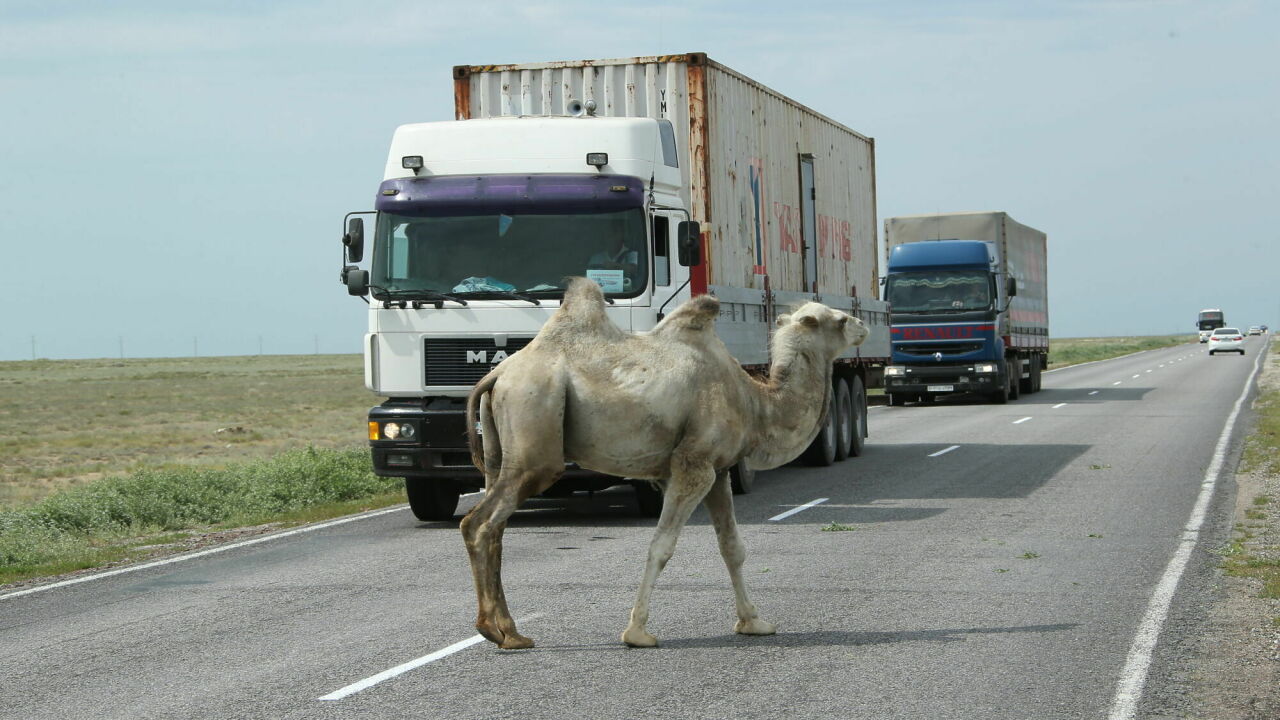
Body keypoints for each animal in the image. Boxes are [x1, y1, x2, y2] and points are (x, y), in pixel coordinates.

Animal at [460, 274, 870, 645]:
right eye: (839, 320)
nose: (863, 325)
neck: (754, 402)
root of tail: (498, 374)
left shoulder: (719, 471)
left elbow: (732, 547)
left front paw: (754, 622)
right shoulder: (693, 465)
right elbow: (661, 546)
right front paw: (637, 633)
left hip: (502, 449)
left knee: (493, 526)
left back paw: (506, 630)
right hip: (535, 432)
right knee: (480, 523)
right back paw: (501, 632)